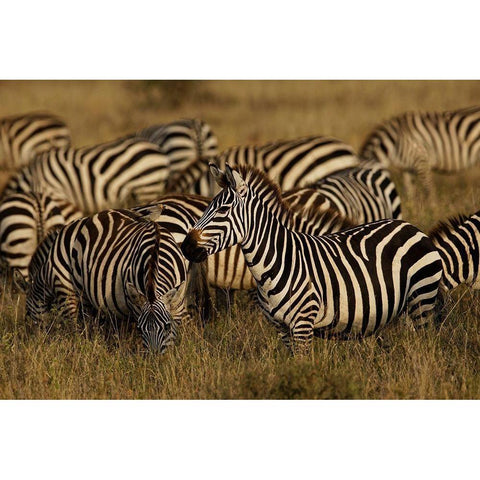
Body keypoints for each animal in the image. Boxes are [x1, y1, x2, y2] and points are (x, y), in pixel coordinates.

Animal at [183, 165, 442, 352]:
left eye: (222, 210)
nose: (186, 246)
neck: (277, 262)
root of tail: (409, 226)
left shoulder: (303, 324)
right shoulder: (282, 329)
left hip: (421, 300)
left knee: (423, 345)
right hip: (397, 311)